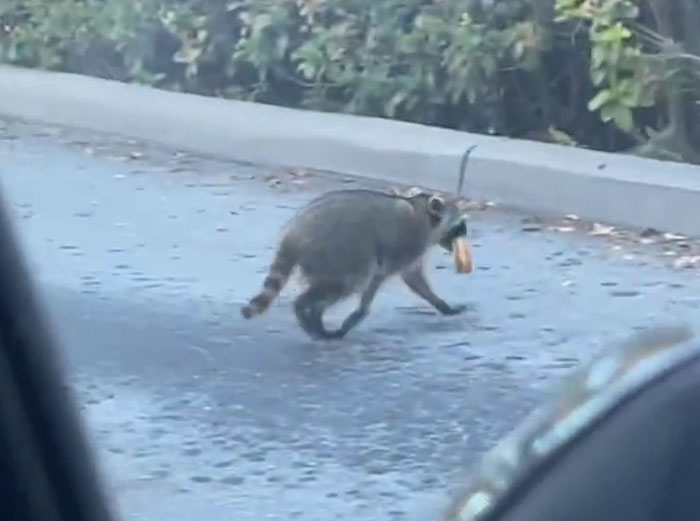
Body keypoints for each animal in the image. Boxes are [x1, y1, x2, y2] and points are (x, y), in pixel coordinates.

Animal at [240, 188, 468, 339]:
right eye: (460, 224)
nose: (466, 234)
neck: (421, 210)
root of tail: (294, 233)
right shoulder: (406, 244)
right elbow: (378, 279)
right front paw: (360, 312)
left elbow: (415, 280)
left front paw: (442, 304)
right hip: (338, 253)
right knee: (348, 283)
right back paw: (307, 313)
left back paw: (315, 317)